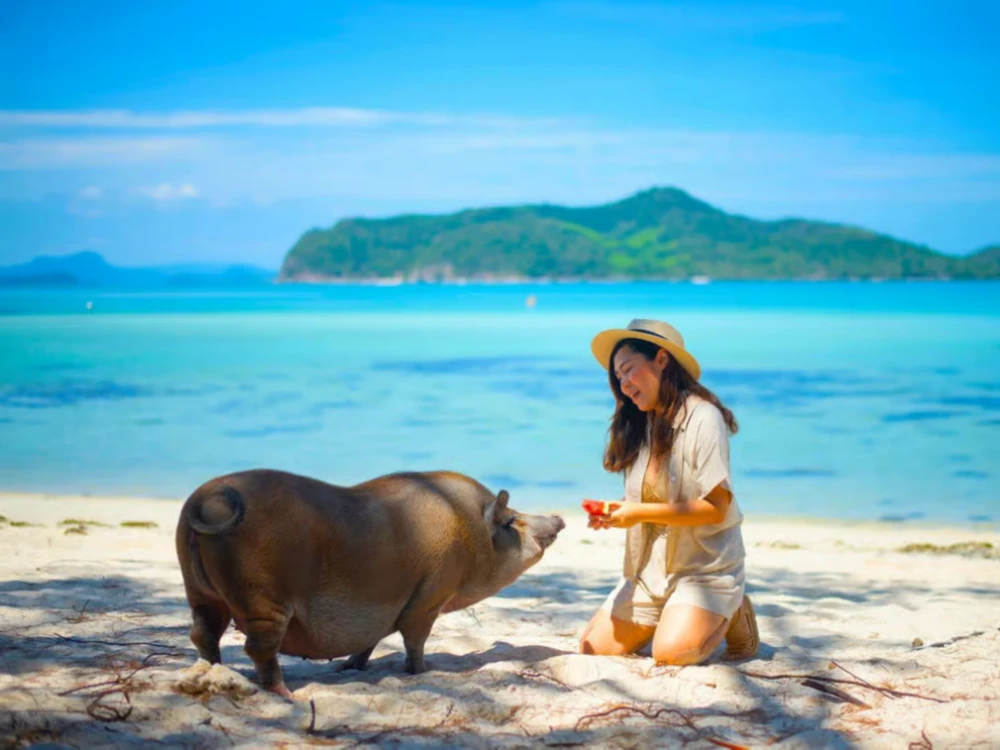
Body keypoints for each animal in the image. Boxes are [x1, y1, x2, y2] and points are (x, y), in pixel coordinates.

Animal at [175, 469, 565, 698]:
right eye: (511, 521)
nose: (559, 518)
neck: (470, 532)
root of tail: (204, 500)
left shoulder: (387, 609)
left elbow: (371, 640)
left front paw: (349, 667)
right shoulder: (429, 596)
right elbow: (414, 638)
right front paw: (423, 672)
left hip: (200, 592)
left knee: (202, 633)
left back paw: (212, 671)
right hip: (260, 596)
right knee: (257, 648)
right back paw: (286, 695)